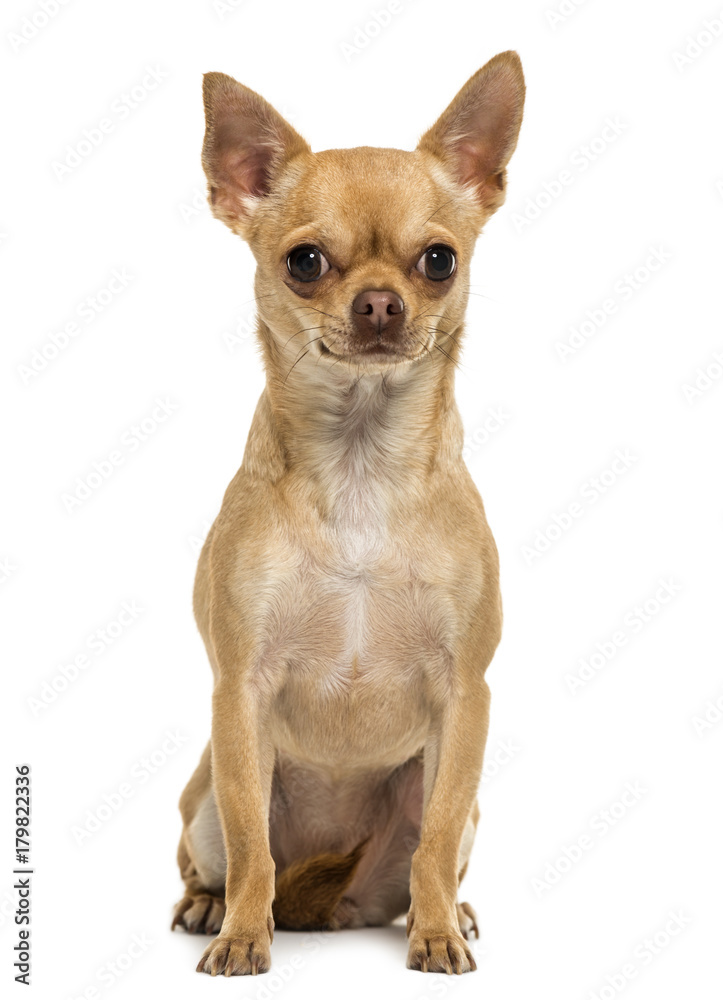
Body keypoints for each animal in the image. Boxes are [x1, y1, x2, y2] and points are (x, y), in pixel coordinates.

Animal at [174, 52, 528, 976]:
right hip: (202, 798)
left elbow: (434, 836)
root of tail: (328, 914)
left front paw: (436, 933)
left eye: (438, 260)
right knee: (223, 852)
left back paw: (441, 912)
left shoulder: (463, 696)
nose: (379, 303)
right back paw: (210, 906)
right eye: (304, 261)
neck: (361, 465)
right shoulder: (241, 693)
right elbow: (253, 843)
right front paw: (242, 937)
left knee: (424, 852)